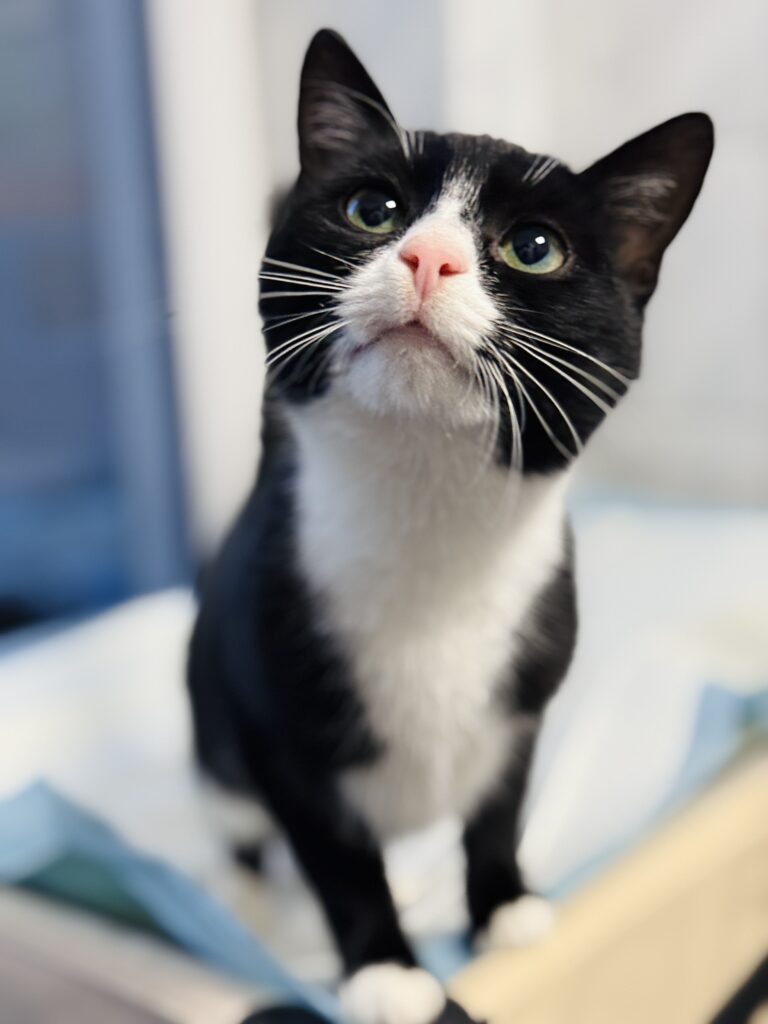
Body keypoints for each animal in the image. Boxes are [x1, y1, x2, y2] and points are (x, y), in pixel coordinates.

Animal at [188, 28, 713, 1024]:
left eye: (534, 247)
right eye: (372, 208)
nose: (428, 258)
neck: (428, 513)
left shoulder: (526, 684)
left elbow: (499, 803)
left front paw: (502, 906)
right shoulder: (273, 704)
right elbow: (334, 856)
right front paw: (388, 970)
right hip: (208, 694)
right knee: (236, 816)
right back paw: (249, 898)